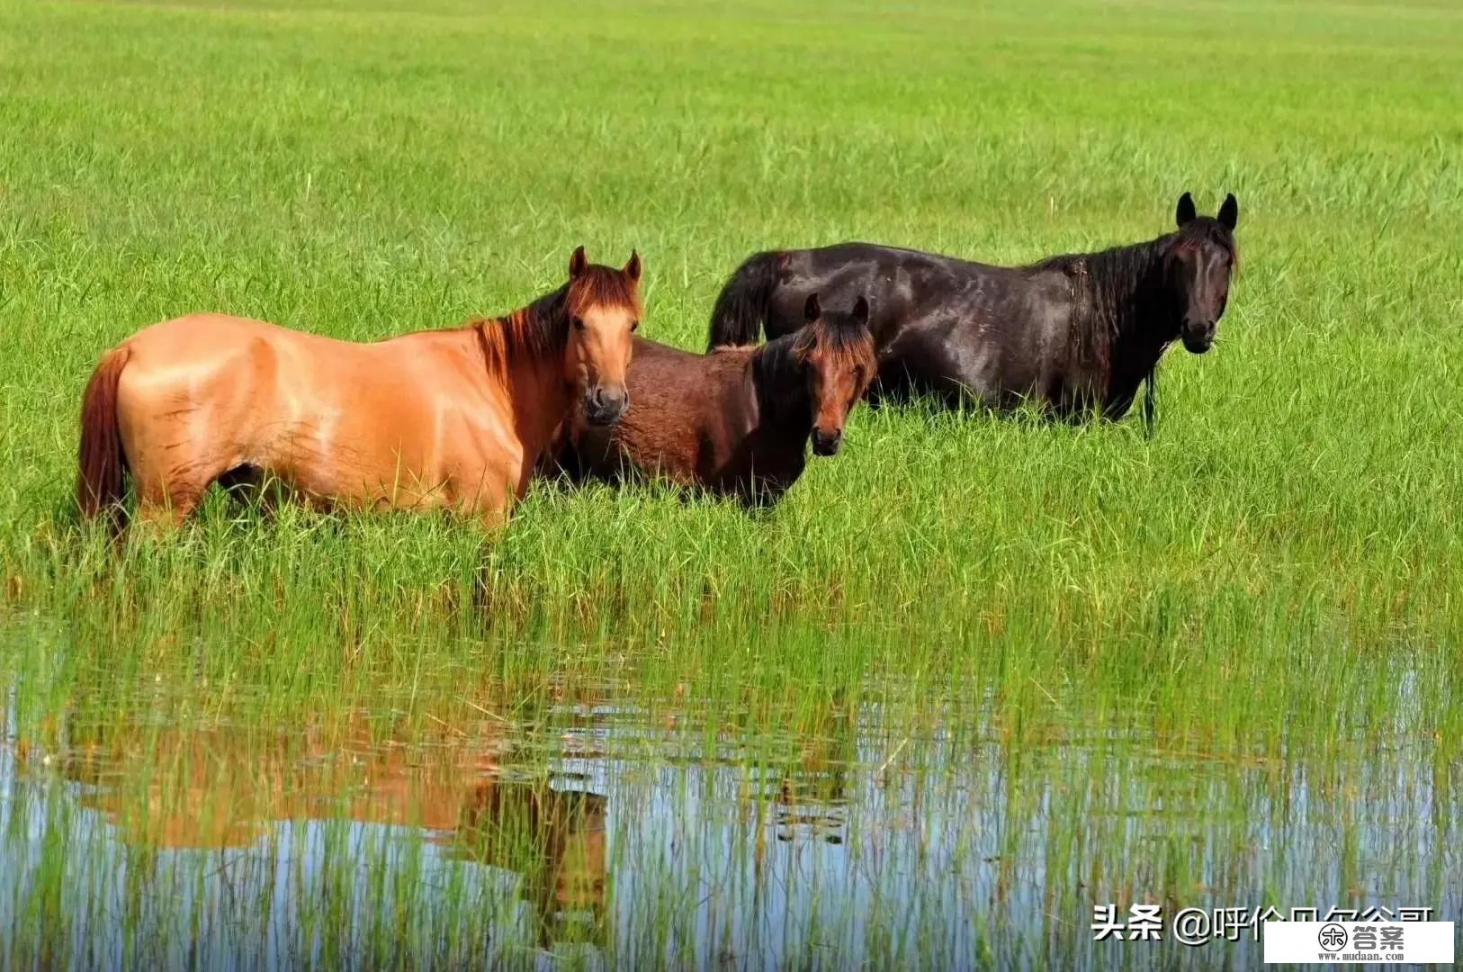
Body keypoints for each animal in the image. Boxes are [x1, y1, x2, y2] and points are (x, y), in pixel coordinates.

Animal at [77, 247, 643, 526]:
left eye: (632, 325)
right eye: (578, 322)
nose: (609, 402)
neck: (493, 386)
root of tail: (133, 348)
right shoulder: (481, 520)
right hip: (163, 509)